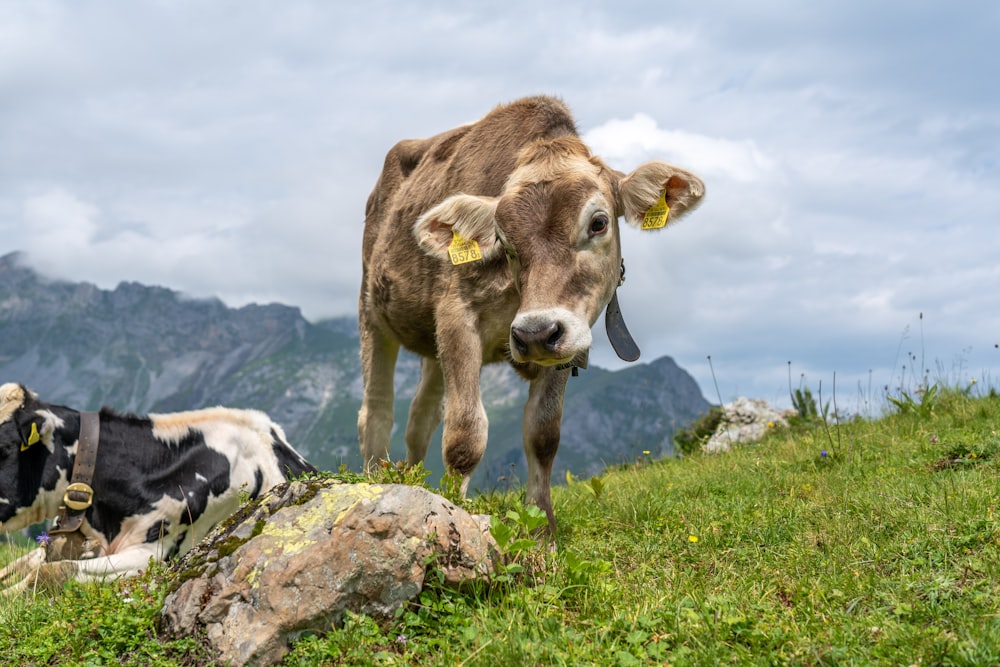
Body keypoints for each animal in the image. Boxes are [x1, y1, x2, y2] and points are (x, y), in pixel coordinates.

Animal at [360, 96, 704, 532]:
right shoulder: (456, 315)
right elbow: (465, 433)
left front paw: (543, 532)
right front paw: (454, 514)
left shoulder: (569, 337)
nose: (535, 333)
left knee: (420, 416)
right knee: (376, 409)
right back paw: (375, 479)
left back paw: (410, 480)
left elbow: (543, 435)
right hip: (372, 310)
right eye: (502, 239)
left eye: (598, 223)